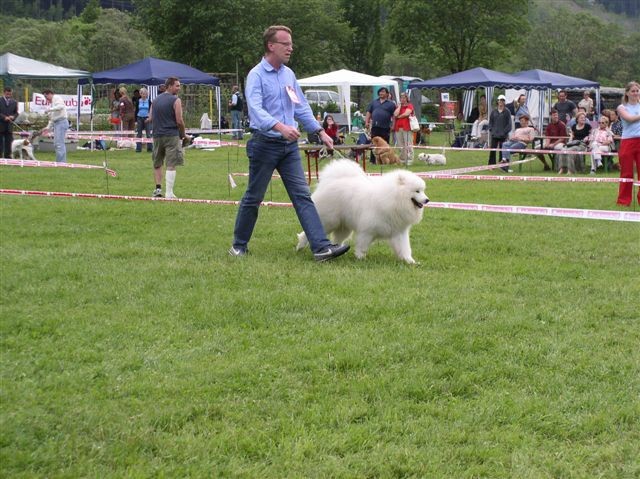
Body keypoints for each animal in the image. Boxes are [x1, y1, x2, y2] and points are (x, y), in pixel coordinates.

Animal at [296, 161, 430, 266]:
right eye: (417, 191)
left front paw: (410, 261)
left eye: (423, 191)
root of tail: (331, 181)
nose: (427, 200)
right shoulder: (367, 230)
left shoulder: (399, 232)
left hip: (343, 227)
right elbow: (362, 245)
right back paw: (300, 246)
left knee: (337, 239)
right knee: (307, 232)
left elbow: (405, 248)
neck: (393, 198)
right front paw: (360, 258)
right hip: (329, 221)